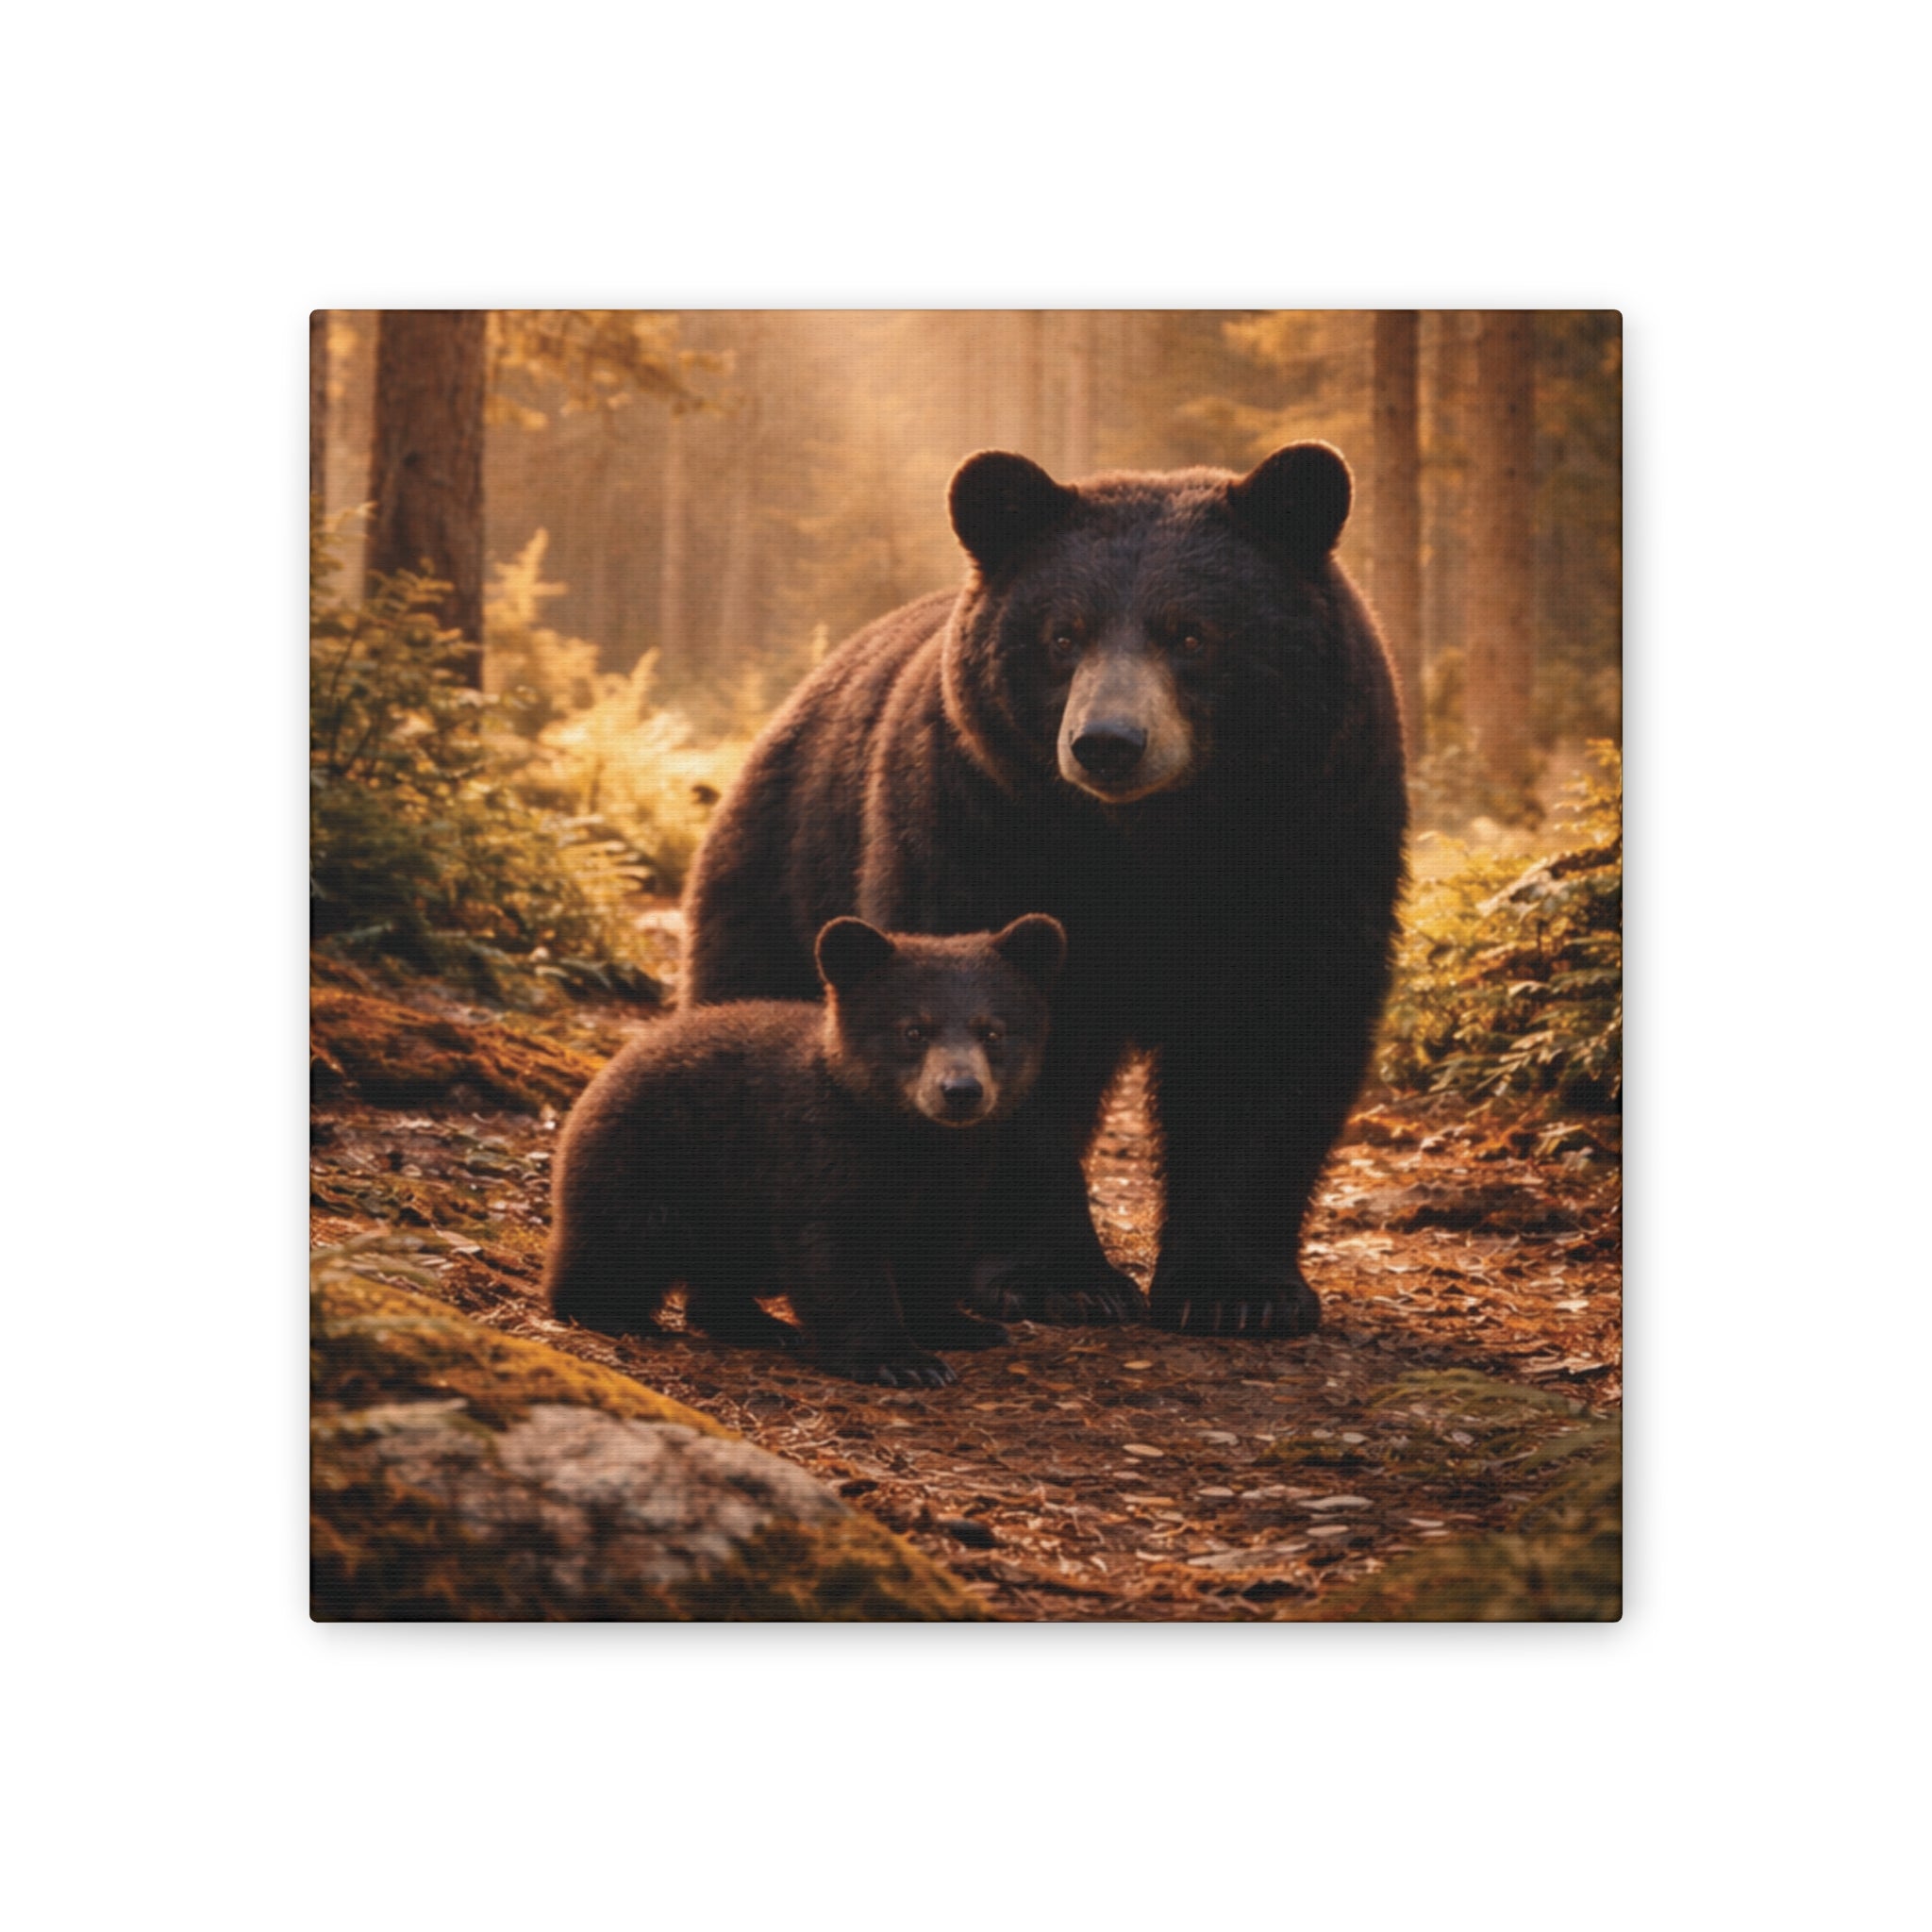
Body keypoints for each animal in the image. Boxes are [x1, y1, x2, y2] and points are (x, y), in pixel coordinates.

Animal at [542, 914, 1067, 1387]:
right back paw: (613, 1314)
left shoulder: (956, 1175)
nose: (960, 1091)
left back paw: (758, 1324)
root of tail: (611, 1066)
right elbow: (838, 1254)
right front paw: (900, 1361)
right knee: (622, 1242)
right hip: (652, 1163)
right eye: (914, 1030)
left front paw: (961, 1327)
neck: (909, 1139)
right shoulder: (822, 1157)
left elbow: (934, 1247)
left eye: (993, 1031)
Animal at [682, 441, 1408, 1339]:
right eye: (1065, 634)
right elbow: (998, 1021)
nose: (1108, 743)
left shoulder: (1313, 839)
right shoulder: (983, 825)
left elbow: (1273, 1033)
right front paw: (1058, 1278)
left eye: (1191, 633)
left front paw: (1238, 1291)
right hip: (786, 868)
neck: (1154, 841)